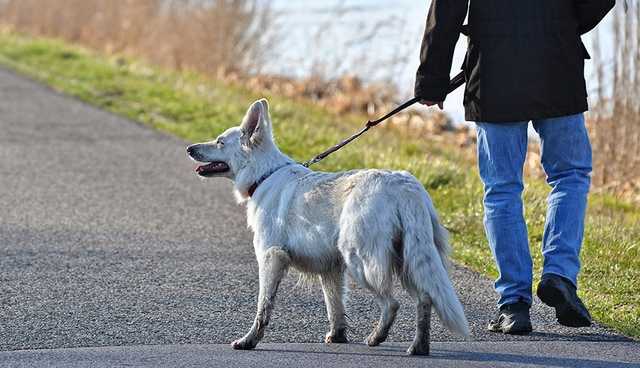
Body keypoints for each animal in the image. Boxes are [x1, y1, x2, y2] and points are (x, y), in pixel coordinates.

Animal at [188, 99, 468, 356]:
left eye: (219, 142)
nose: (189, 148)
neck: (264, 175)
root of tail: (404, 185)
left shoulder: (271, 258)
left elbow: (263, 307)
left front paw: (249, 341)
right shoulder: (330, 269)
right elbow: (335, 306)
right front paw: (338, 336)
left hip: (361, 261)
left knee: (392, 304)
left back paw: (377, 337)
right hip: (409, 260)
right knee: (425, 299)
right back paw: (419, 346)